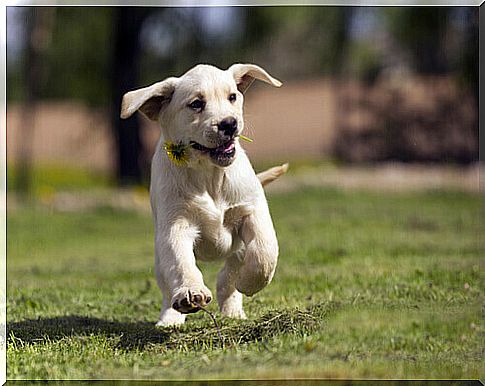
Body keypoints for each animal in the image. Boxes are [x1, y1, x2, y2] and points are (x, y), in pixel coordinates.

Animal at [122, 63, 288, 326]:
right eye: (196, 104)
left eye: (232, 97)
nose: (229, 124)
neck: (209, 175)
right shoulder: (176, 226)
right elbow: (181, 263)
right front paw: (190, 292)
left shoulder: (252, 210)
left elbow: (265, 250)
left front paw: (250, 283)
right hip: (159, 256)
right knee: (168, 285)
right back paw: (170, 317)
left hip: (238, 248)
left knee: (229, 274)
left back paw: (233, 308)